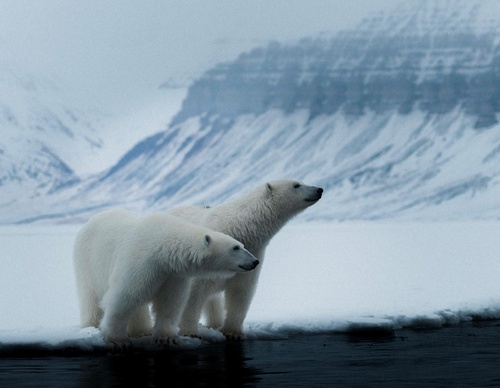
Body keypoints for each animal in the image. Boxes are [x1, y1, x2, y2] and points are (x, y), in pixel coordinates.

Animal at [73, 208, 260, 344]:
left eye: (242, 245)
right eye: (236, 247)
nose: (255, 261)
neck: (163, 248)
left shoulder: (173, 274)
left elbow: (170, 302)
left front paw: (166, 337)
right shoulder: (140, 262)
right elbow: (123, 297)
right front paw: (117, 340)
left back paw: (143, 330)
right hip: (87, 261)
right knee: (90, 296)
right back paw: (91, 326)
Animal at [168, 180, 324, 338]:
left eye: (299, 182)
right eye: (296, 185)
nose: (319, 189)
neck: (240, 227)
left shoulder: (252, 256)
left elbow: (241, 291)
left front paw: (233, 331)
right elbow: (193, 293)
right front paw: (189, 332)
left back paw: (215, 323)